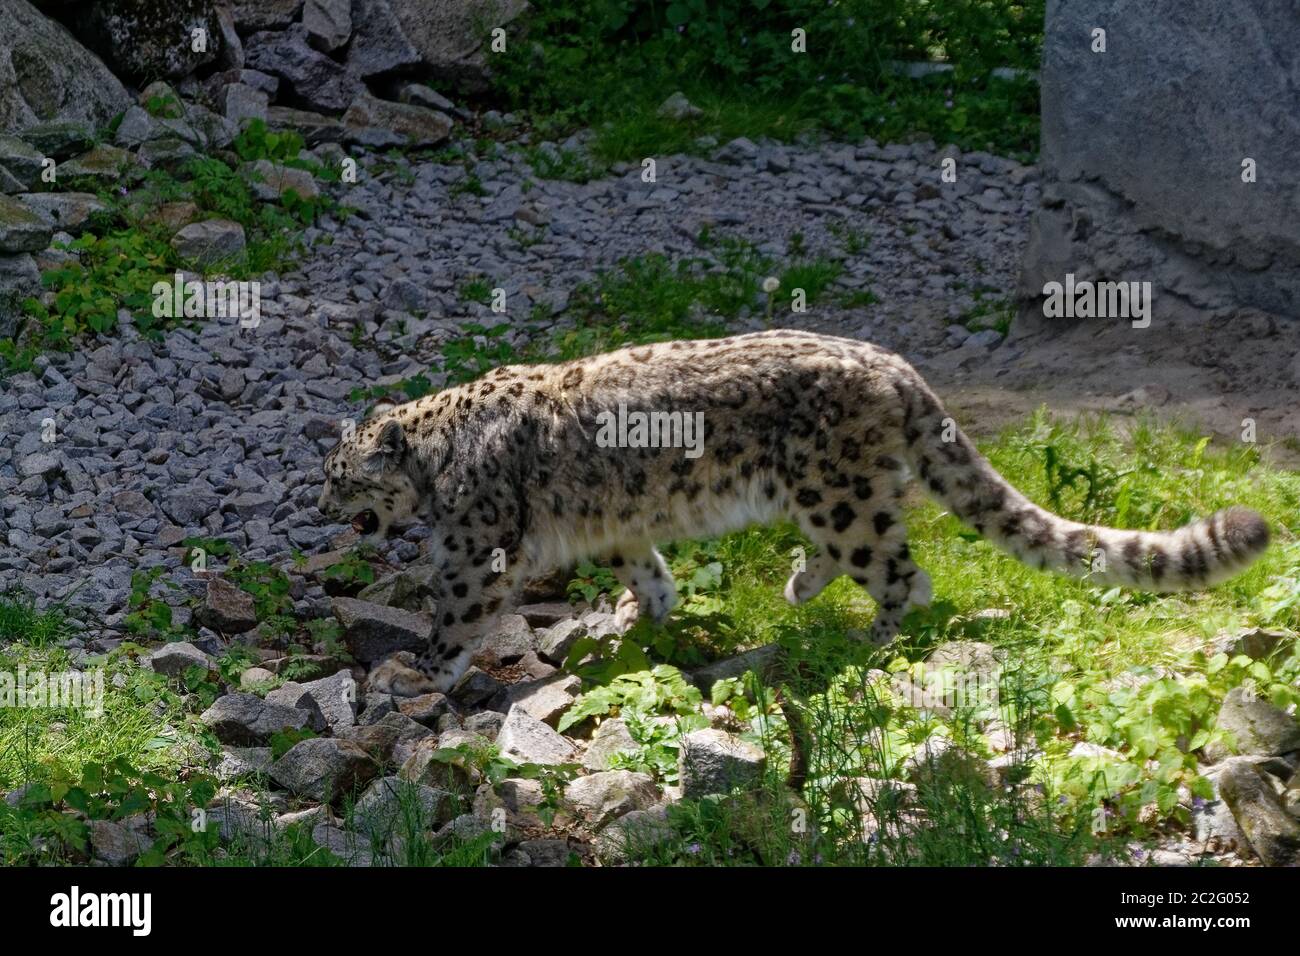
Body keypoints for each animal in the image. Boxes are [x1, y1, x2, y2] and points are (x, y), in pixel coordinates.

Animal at [317, 329, 1270, 697]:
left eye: (339, 478)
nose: (319, 507)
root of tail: (892, 363)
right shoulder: (617, 527)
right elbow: (646, 570)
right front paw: (636, 620)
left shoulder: (474, 546)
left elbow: (455, 611)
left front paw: (414, 678)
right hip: (827, 493)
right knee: (863, 550)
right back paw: (800, 590)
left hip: (838, 491)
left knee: (904, 572)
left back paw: (867, 641)